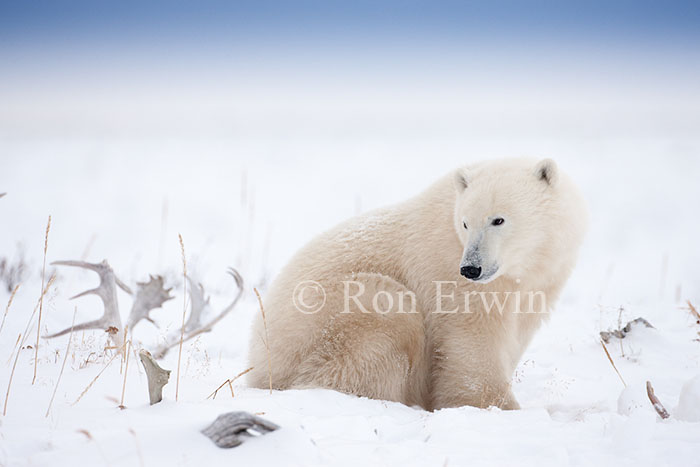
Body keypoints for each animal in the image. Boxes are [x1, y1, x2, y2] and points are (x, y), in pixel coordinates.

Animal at [247, 158, 587, 410]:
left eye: (498, 219)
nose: (471, 268)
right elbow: (473, 342)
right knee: (386, 310)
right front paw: (497, 406)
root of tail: (258, 363)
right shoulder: (449, 272)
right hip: (320, 324)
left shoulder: (542, 279)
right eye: (465, 222)